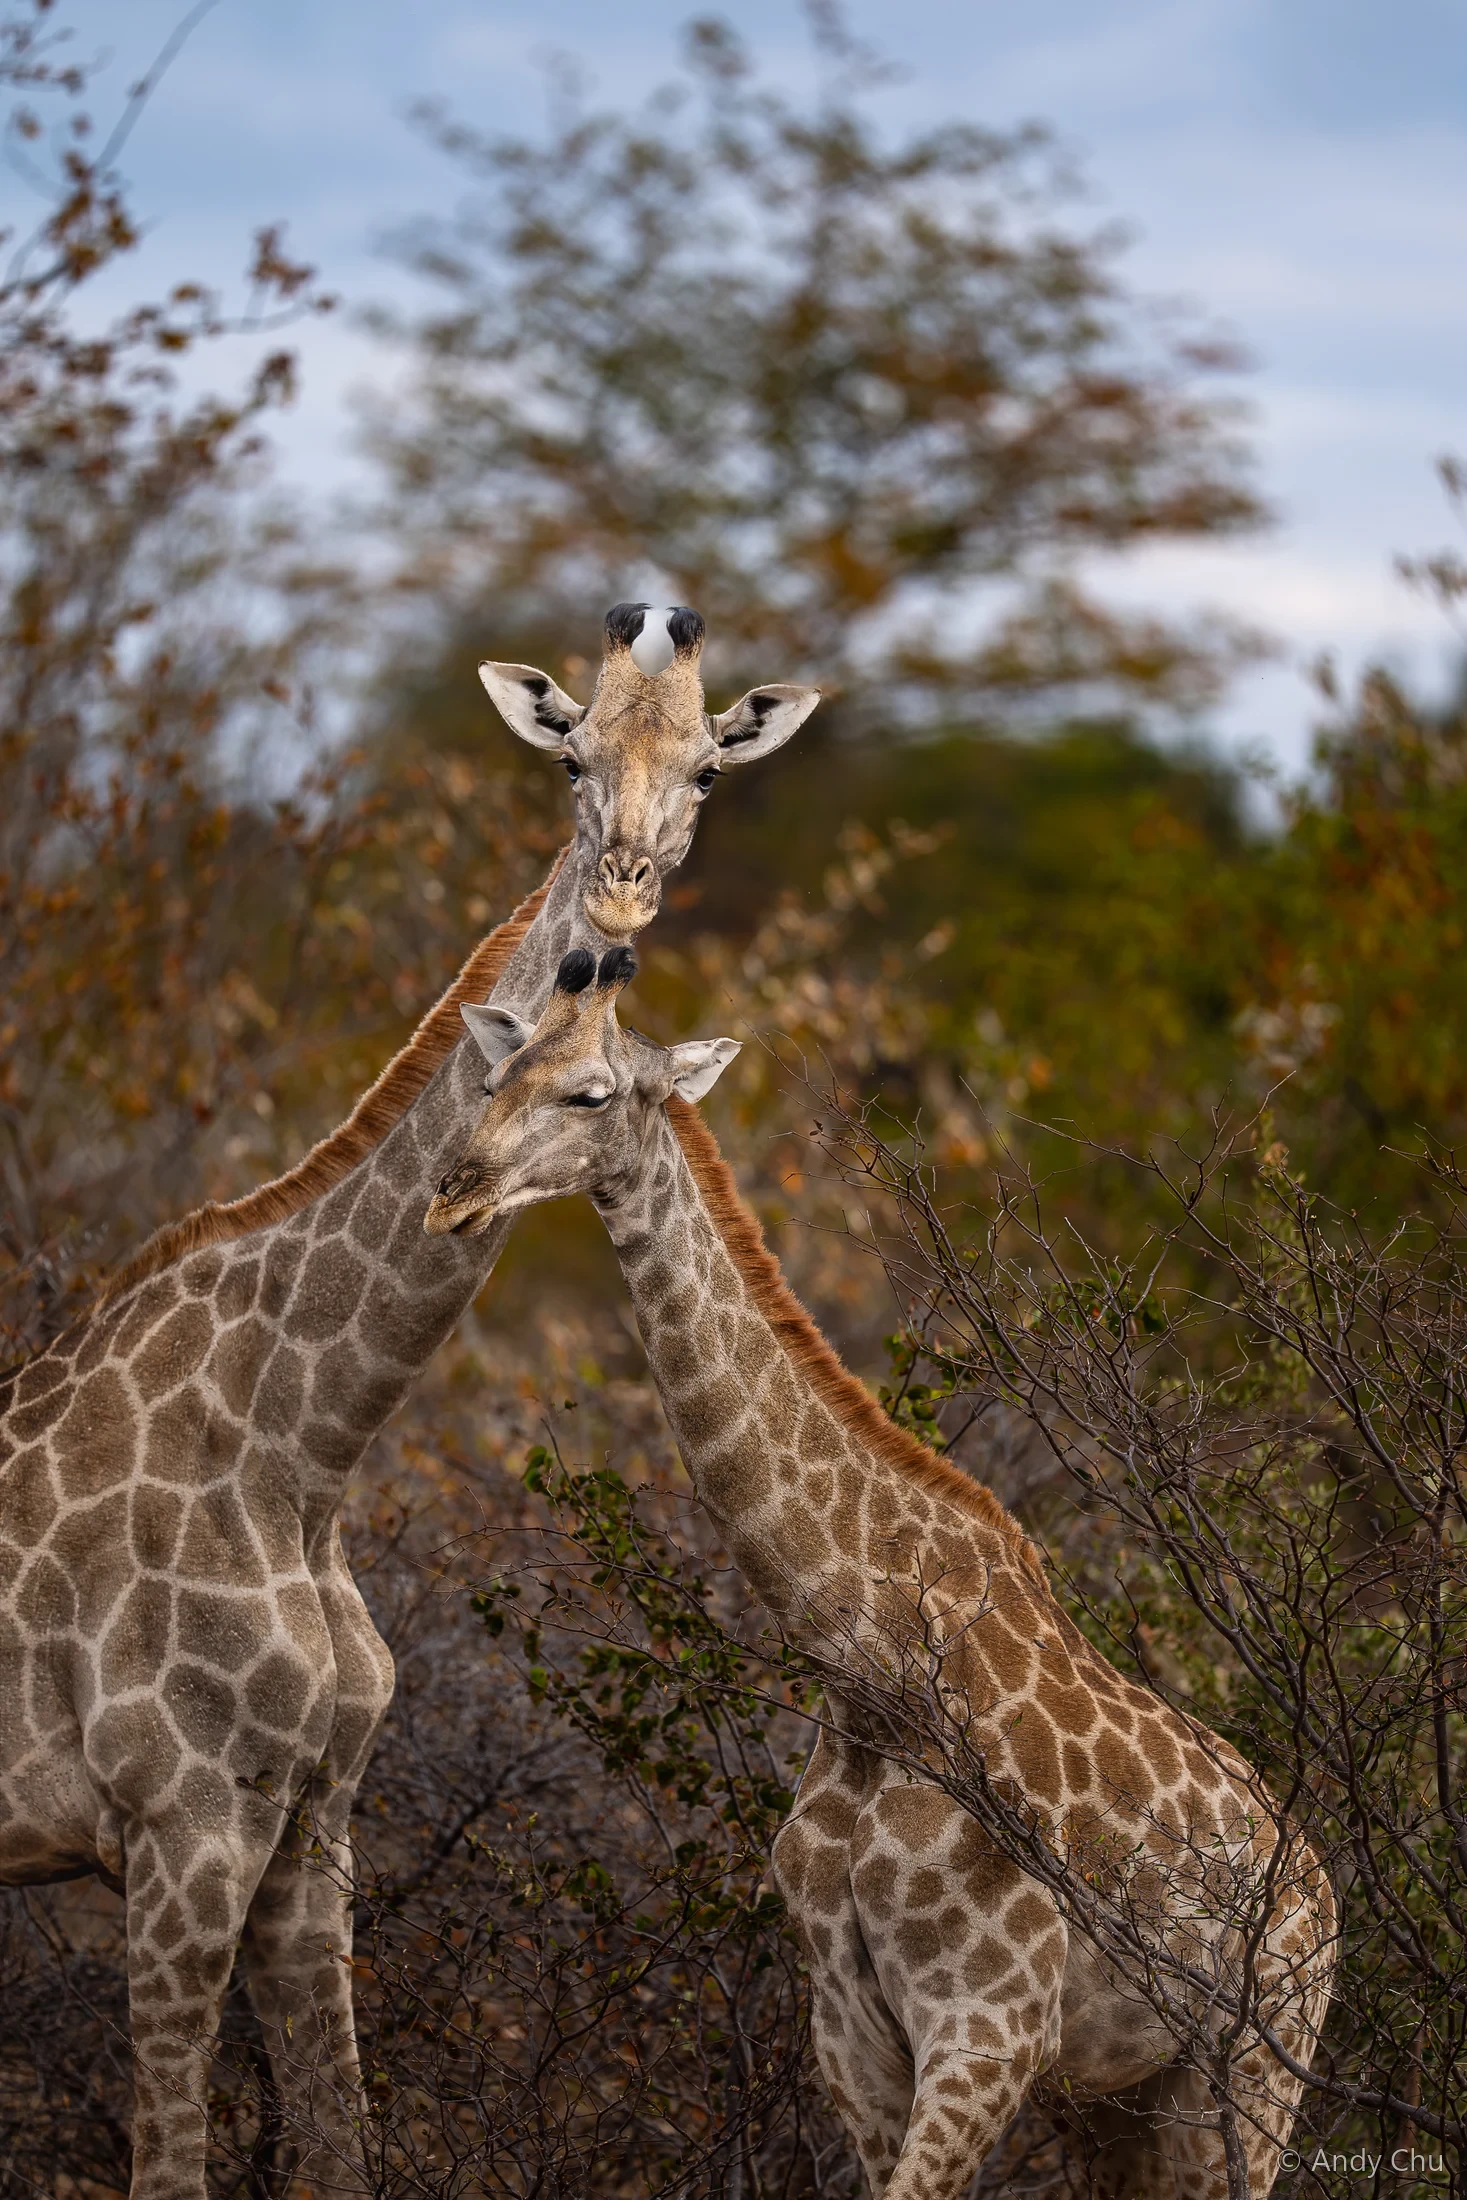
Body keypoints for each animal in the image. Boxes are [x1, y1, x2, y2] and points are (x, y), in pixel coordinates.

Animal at [0, 603, 819, 2200]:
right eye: (568, 753)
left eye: (706, 768)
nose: (618, 905)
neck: (301, 1450)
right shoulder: (180, 1826)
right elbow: (172, 2165)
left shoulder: (310, 1824)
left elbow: (336, 2144)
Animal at [426, 949, 1337, 2200]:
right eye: (495, 1072)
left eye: (590, 1091)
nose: (450, 1188)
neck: (866, 1664)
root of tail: (1324, 1890)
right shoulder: (850, 2032)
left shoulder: (988, 2024)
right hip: (1122, 2100)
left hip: (1252, 2067)